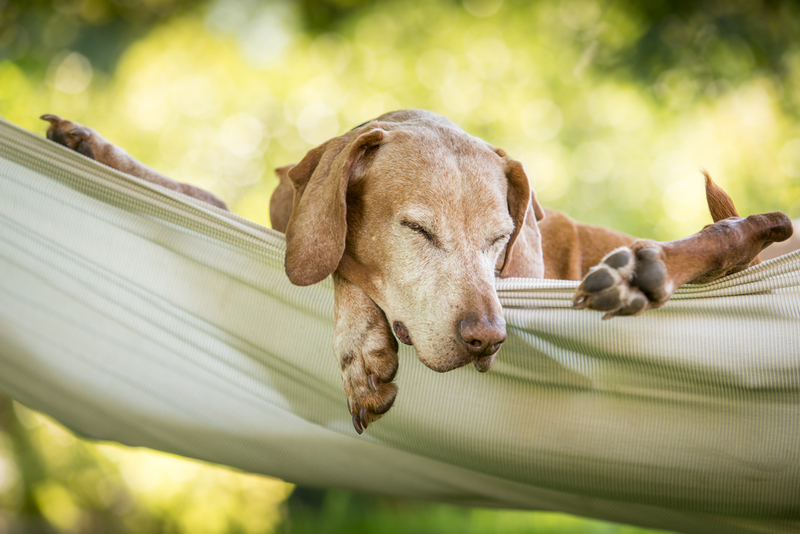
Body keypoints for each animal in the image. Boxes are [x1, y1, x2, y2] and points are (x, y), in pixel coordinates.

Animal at [40, 110, 792, 436]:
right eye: (417, 230)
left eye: (499, 241)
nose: (488, 338)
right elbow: (213, 201)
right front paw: (94, 145)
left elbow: (345, 276)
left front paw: (363, 349)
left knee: (728, 234)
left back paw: (648, 268)